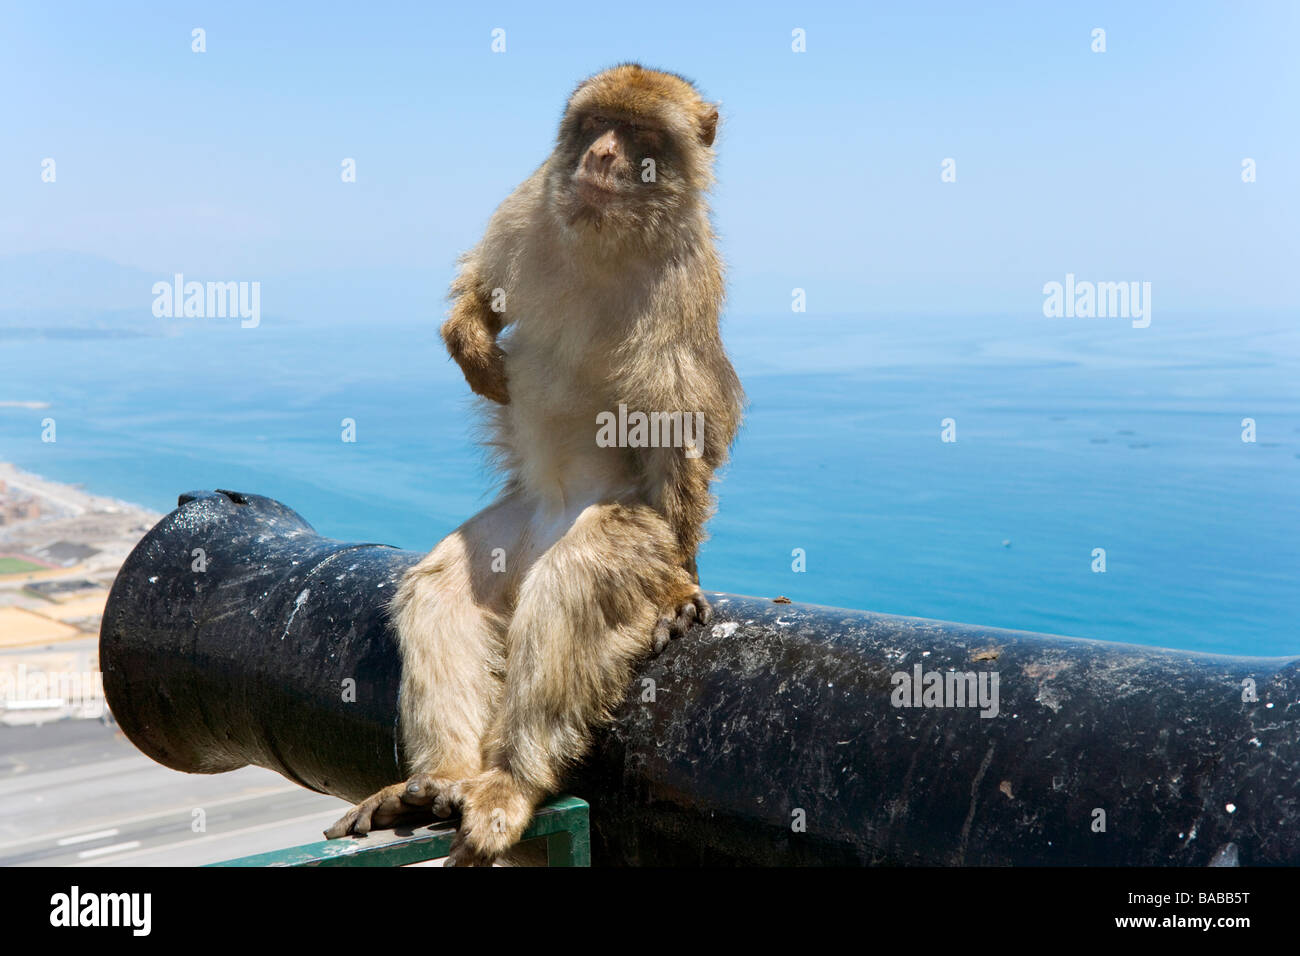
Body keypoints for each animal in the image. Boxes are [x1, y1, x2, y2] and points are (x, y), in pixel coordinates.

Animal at [325, 61, 743, 868]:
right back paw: (440, 779)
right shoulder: (528, 204)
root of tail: (549, 519)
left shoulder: (683, 286)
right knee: (441, 590)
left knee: (575, 578)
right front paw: (472, 344)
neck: (604, 240)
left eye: (638, 135)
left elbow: (679, 436)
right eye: (595, 126)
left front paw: (682, 586)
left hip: (614, 527)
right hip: (508, 533)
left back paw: (510, 783)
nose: (602, 157)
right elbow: (479, 285)